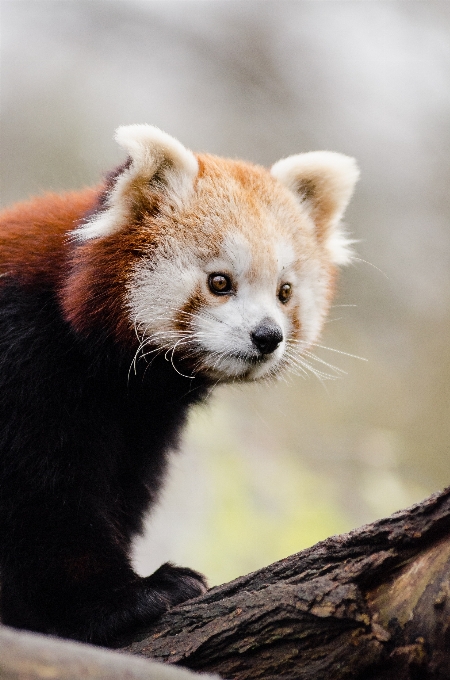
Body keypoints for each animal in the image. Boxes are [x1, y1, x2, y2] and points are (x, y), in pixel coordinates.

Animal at [0, 125, 358, 644]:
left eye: (285, 292)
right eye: (220, 282)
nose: (267, 336)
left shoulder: (142, 420)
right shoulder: (25, 356)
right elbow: (41, 497)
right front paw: (125, 599)